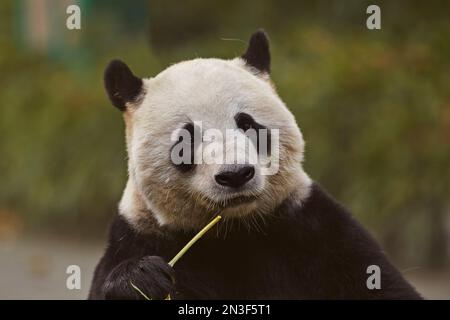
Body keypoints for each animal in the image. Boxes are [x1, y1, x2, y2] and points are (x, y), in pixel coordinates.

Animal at [89, 30, 422, 300]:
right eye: (185, 139)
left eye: (248, 124)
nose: (236, 175)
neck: (235, 230)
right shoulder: (141, 235)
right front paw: (140, 280)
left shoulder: (315, 229)